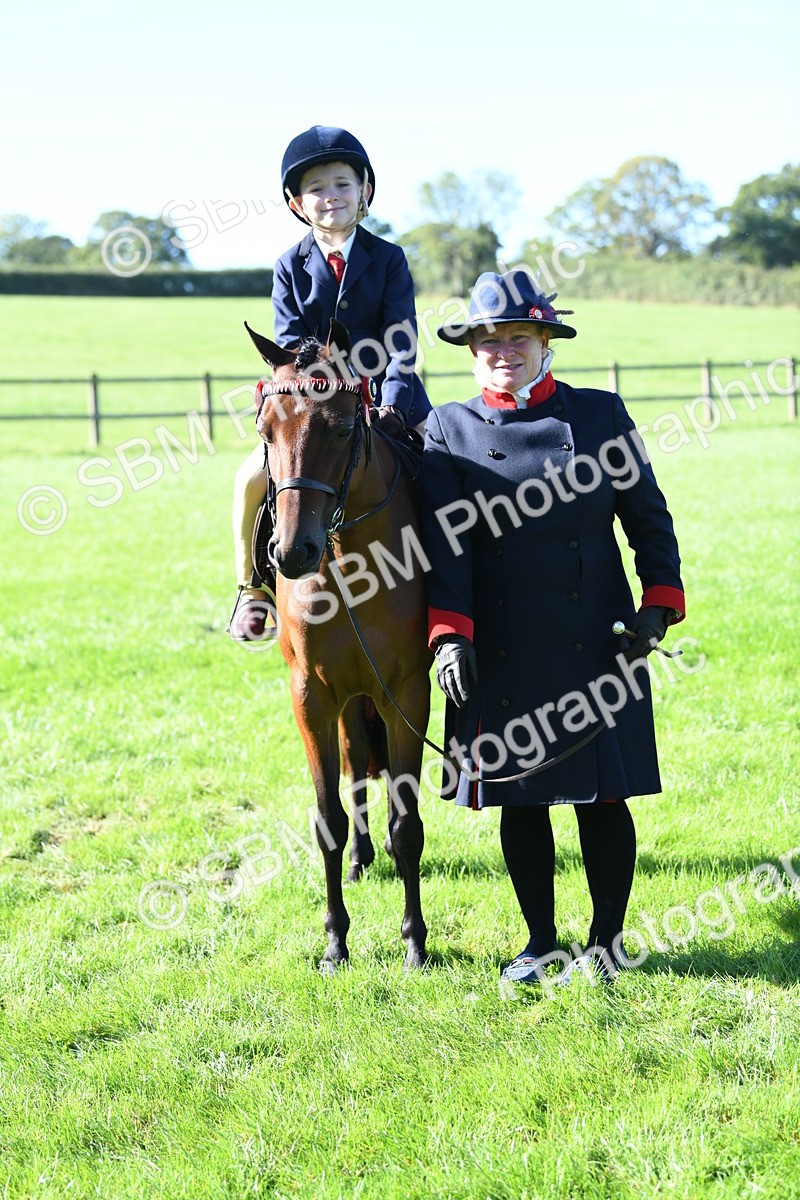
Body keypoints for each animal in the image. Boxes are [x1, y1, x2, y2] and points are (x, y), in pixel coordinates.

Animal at [244, 318, 431, 972]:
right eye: (265, 429)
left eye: (345, 426)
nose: (291, 552)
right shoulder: (312, 697)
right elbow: (328, 817)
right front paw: (334, 942)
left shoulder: (408, 693)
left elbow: (407, 821)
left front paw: (414, 940)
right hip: (350, 699)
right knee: (354, 768)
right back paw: (358, 859)